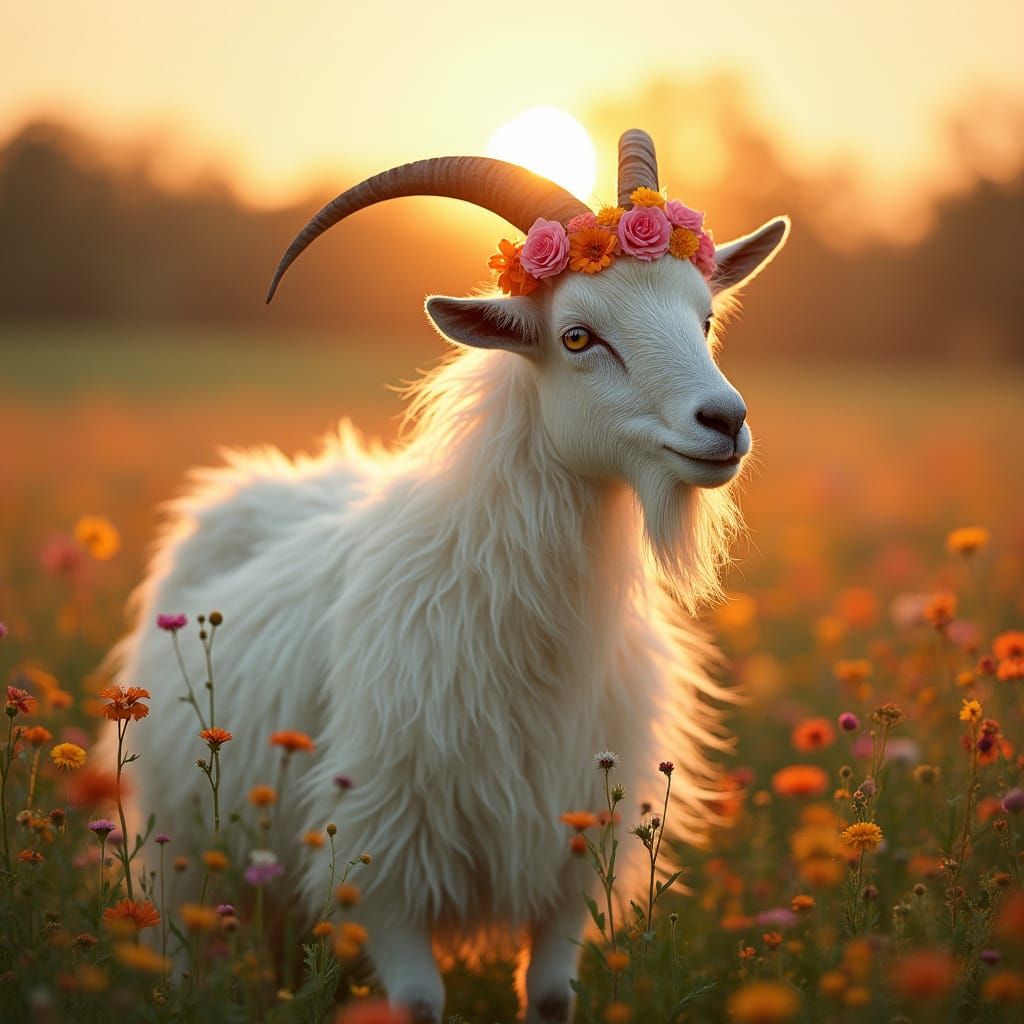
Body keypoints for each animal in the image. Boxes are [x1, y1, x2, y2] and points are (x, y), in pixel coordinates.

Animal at [113, 129, 788, 1023]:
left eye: (705, 317)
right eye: (578, 337)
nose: (725, 423)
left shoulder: (569, 863)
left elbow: (550, 997)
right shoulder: (380, 860)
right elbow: (419, 1003)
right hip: (181, 847)